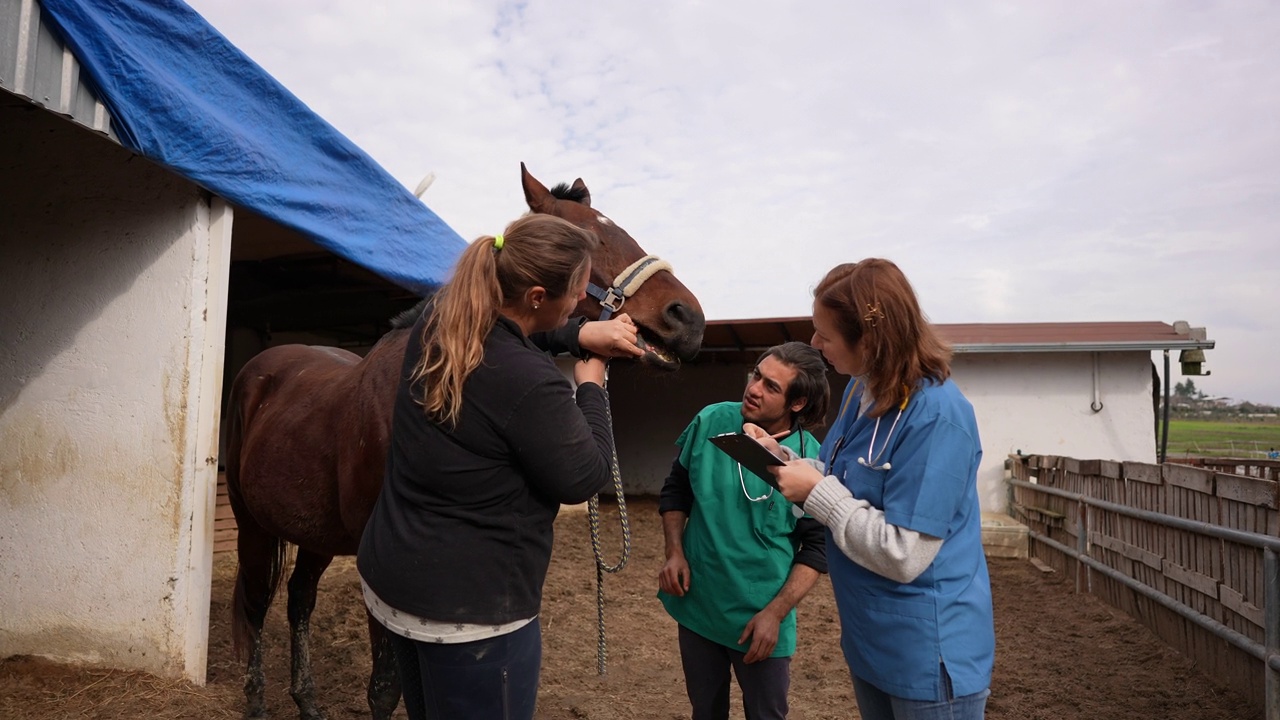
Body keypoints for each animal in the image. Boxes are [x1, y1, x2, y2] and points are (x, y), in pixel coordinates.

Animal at [227, 163, 711, 717]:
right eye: (588, 238)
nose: (689, 320)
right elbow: (385, 688)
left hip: (313, 534)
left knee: (299, 601)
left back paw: (306, 701)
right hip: (253, 524)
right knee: (257, 605)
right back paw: (256, 701)